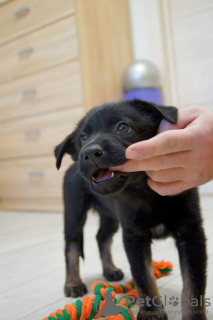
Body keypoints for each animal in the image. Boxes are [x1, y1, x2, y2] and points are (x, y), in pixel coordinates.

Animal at [54, 100, 206, 320]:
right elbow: (144, 277)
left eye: (122, 127)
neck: (146, 191)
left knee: (102, 237)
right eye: (82, 138)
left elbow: (194, 283)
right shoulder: (134, 238)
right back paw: (73, 283)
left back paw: (110, 270)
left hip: (110, 216)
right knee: (72, 245)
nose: (89, 152)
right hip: (74, 212)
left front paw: (194, 316)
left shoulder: (191, 234)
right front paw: (151, 311)